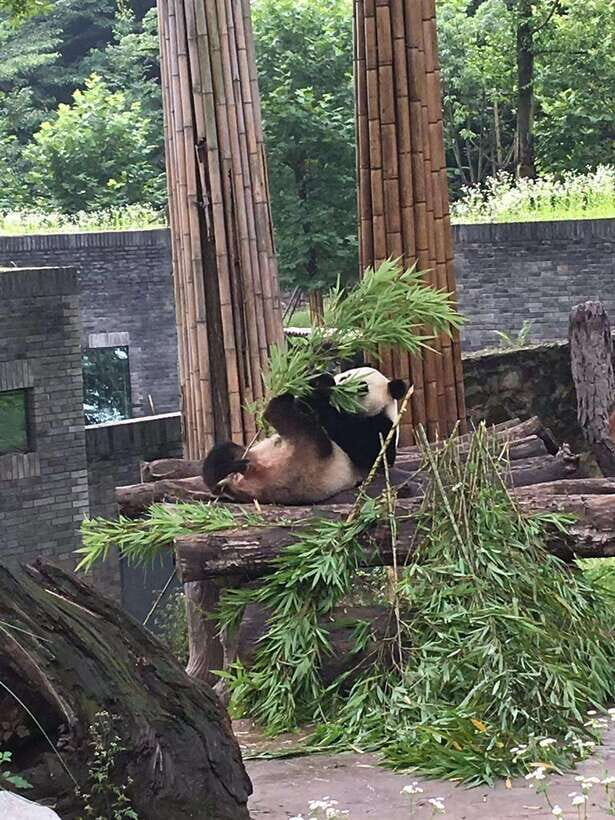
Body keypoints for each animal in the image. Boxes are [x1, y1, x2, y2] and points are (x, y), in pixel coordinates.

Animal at [201, 366, 407, 505]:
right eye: (345, 376)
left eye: (362, 386)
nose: (340, 387)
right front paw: (319, 379)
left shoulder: (382, 427)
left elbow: (369, 451)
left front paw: (321, 389)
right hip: (252, 453)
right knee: (222, 453)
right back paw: (227, 467)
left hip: (312, 457)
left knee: (296, 421)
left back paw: (279, 403)